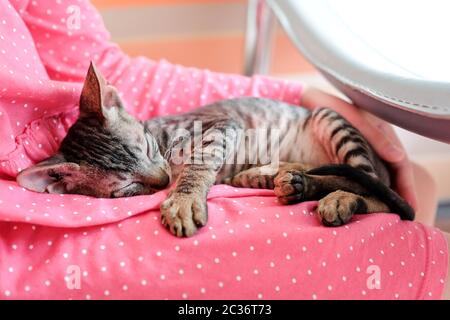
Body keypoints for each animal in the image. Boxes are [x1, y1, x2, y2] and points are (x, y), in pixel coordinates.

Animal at [16, 63, 412, 236]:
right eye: (128, 186)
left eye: (147, 146)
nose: (162, 180)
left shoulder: (222, 124)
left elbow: (199, 161)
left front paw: (184, 200)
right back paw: (281, 177)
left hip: (329, 119)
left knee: (374, 190)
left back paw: (337, 197)